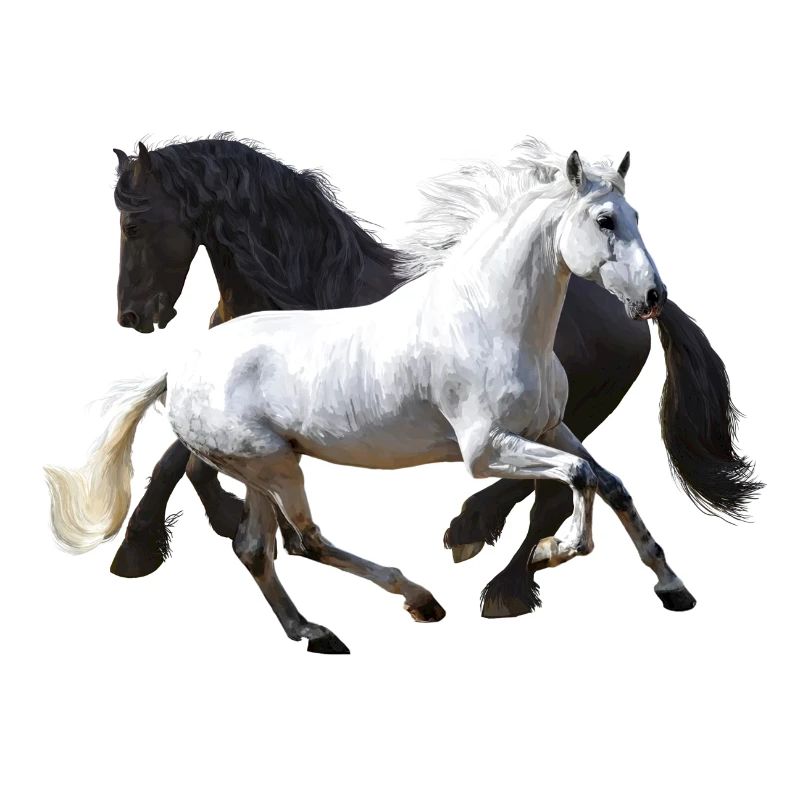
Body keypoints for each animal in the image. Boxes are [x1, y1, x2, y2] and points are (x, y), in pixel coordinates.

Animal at [46, 143, 752, 653]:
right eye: (605, 220)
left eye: (635, 218)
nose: (652, 297)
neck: (491, 317)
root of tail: (178, 370)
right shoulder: (485, 451)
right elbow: (580, 481)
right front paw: (556, 555)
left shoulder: (551, 428)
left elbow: (610, 483)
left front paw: (673, 586)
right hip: (273, 464)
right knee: (298, 541)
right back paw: (421, 598)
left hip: (263, 467)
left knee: (258, 546)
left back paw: (321, 628)